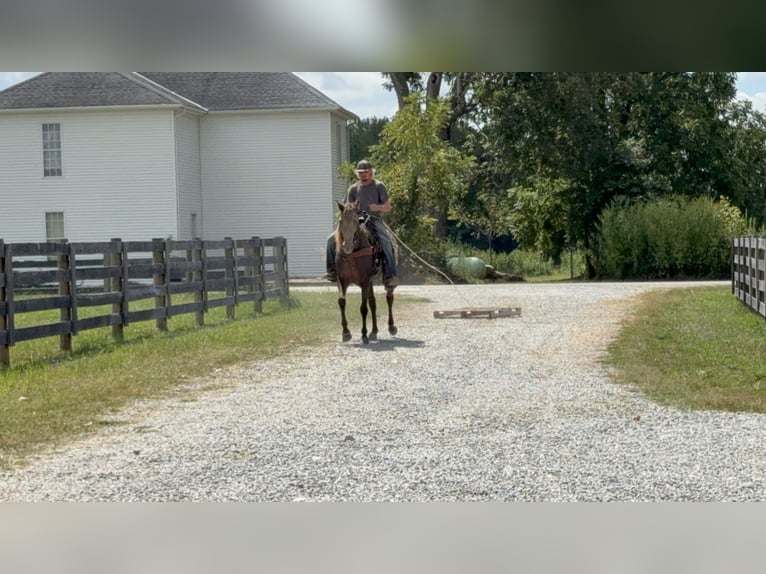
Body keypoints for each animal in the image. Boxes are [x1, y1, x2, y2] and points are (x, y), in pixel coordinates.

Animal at [334, 200, 397, 344]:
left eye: (355, 220)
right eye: (341, 220)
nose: (347, 246)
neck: (353, 254)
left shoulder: (364, 282)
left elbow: (363, 308)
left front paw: (363, 334)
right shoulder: (342, 280)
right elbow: (341, 301)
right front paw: (346, 332)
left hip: (383, 279)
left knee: (389, 298)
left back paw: (391, 327)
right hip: (371, 282)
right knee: (373, 302)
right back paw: (374, 332)